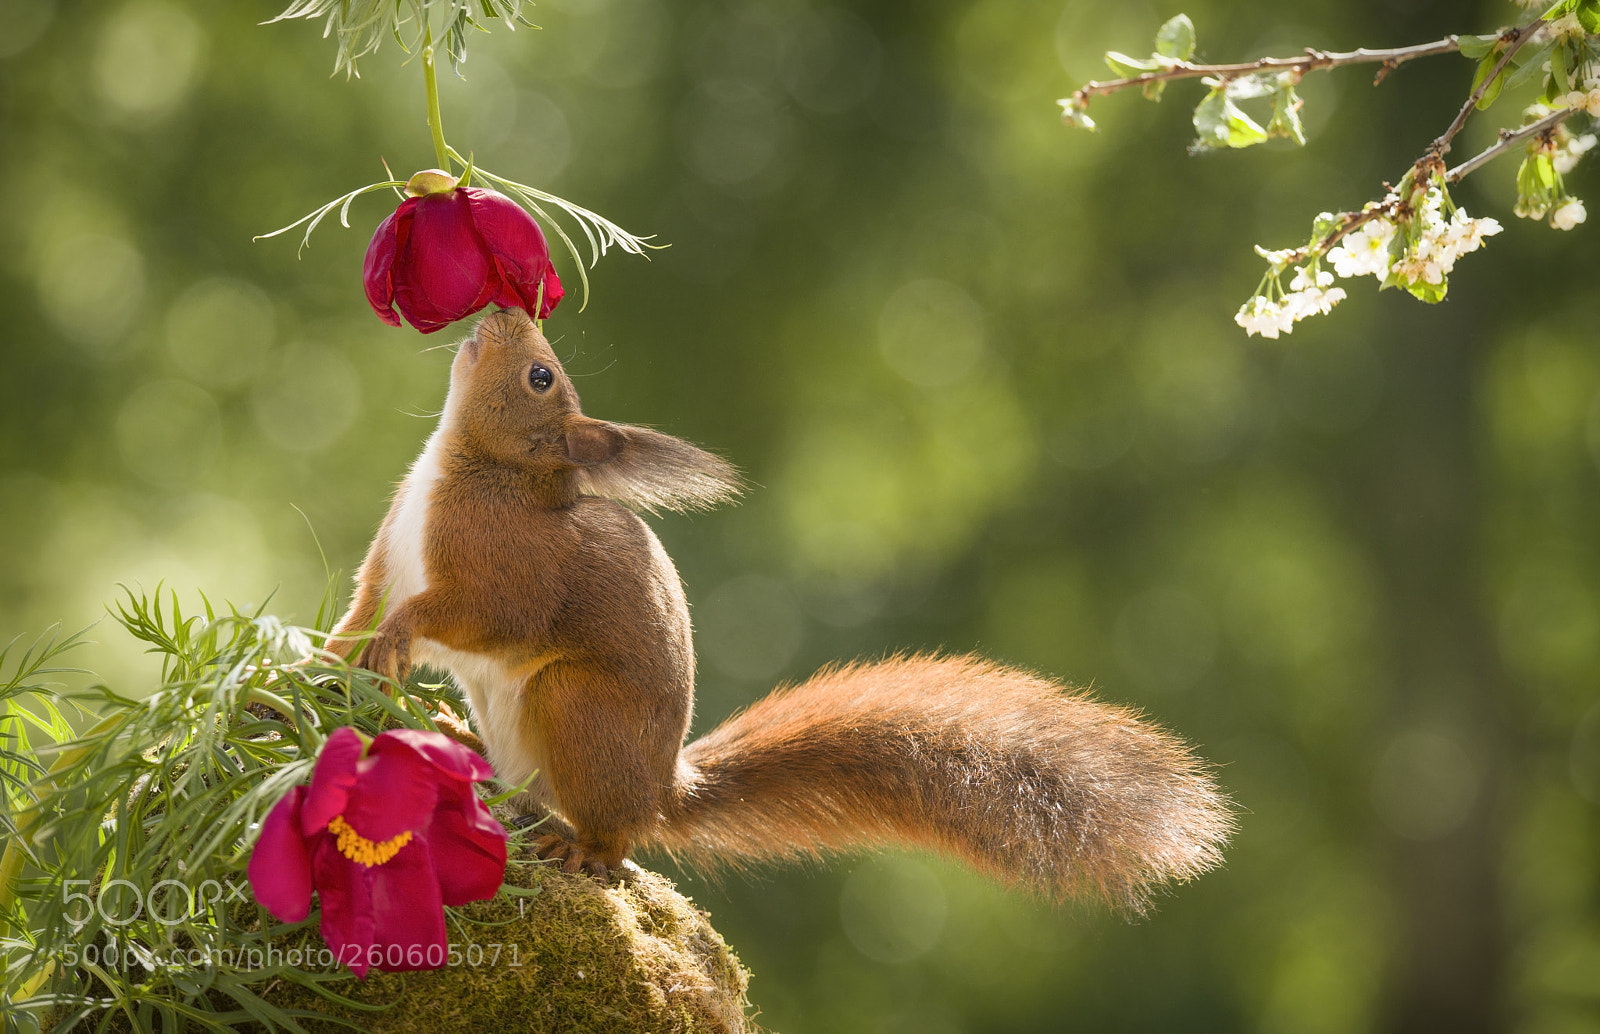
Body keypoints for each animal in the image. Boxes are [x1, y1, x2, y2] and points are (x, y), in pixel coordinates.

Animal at [328, 308, 1231, 909]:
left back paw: (579, 849)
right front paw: (331, 658)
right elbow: (361, 609)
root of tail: (661, 790)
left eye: (540, 376)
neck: (472, 466)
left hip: (574, 708)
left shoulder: (506, 574)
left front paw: (400, 639)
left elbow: (478, 617)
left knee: (608, 836)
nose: (505, 308)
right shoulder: (387, 560)